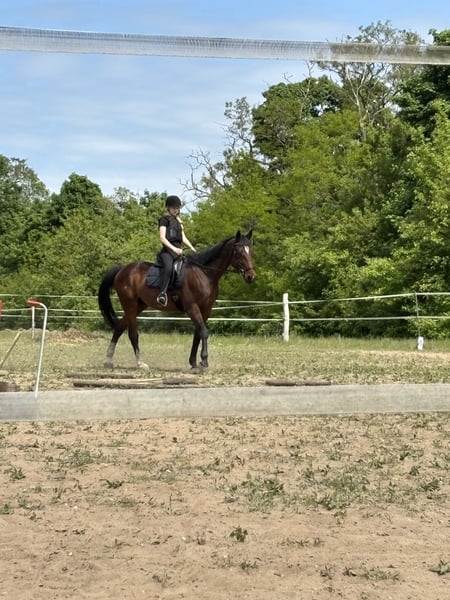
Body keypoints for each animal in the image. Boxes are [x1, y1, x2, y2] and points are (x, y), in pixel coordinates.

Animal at [98, 230, 256, 370]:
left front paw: (193, 362)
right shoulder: (192, 307)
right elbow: (204, 332)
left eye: (250, 251)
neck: (204, 273)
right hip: (129, 304)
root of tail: (122, 269)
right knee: (132, 334)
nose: (251, 276)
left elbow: (198, 333)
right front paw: (204, 361)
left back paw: (108, 361)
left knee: (119, 327)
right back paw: (140, 363)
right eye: (239, 252)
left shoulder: (206, 309)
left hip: (138, 305)